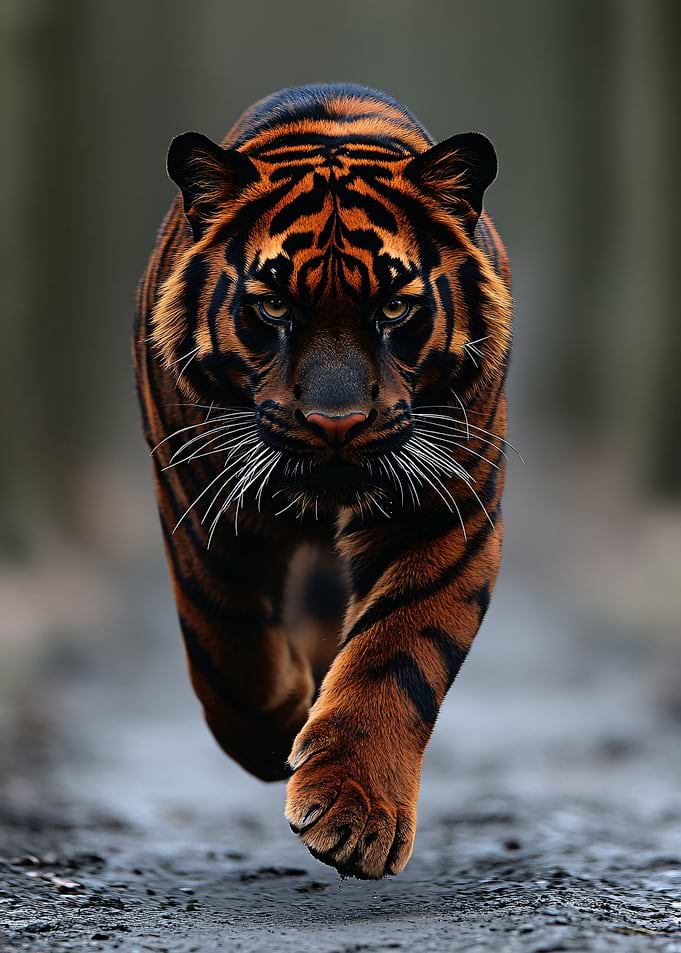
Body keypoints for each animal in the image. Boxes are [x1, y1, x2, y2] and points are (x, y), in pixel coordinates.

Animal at [134, 83, 512, 880]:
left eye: (394, 305)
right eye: (274, 305)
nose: (336, 423)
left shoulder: (444, 511)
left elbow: (397, 651)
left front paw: (354, 813)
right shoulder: (199, 502)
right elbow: (228, 647)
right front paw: (278, 725)